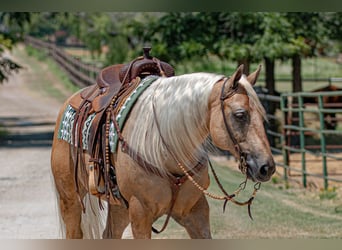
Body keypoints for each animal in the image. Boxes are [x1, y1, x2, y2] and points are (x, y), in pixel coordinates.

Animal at [50, 64, 276, 238]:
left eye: (262, 114)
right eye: (240, 115)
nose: (267, 167)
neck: (165, 149)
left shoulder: (195, 211)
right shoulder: (140, 214)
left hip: (119, 206)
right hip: (69, 199)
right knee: (74, 233)